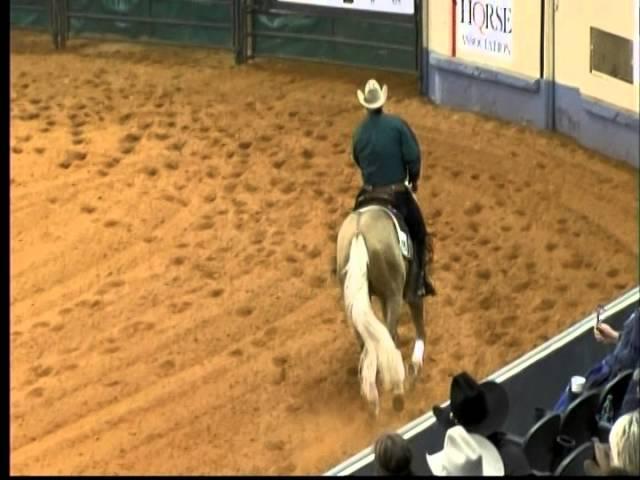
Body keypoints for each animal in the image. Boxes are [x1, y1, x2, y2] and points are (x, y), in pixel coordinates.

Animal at [338, 206, 428, 416]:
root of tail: (358, 231)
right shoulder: (410, 289)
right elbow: (419, 326)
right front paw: (415, 366)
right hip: (394, 294)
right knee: (385, 337)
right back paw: (396, 392)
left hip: (355, 303)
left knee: (368, 343)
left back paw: (372, 396)